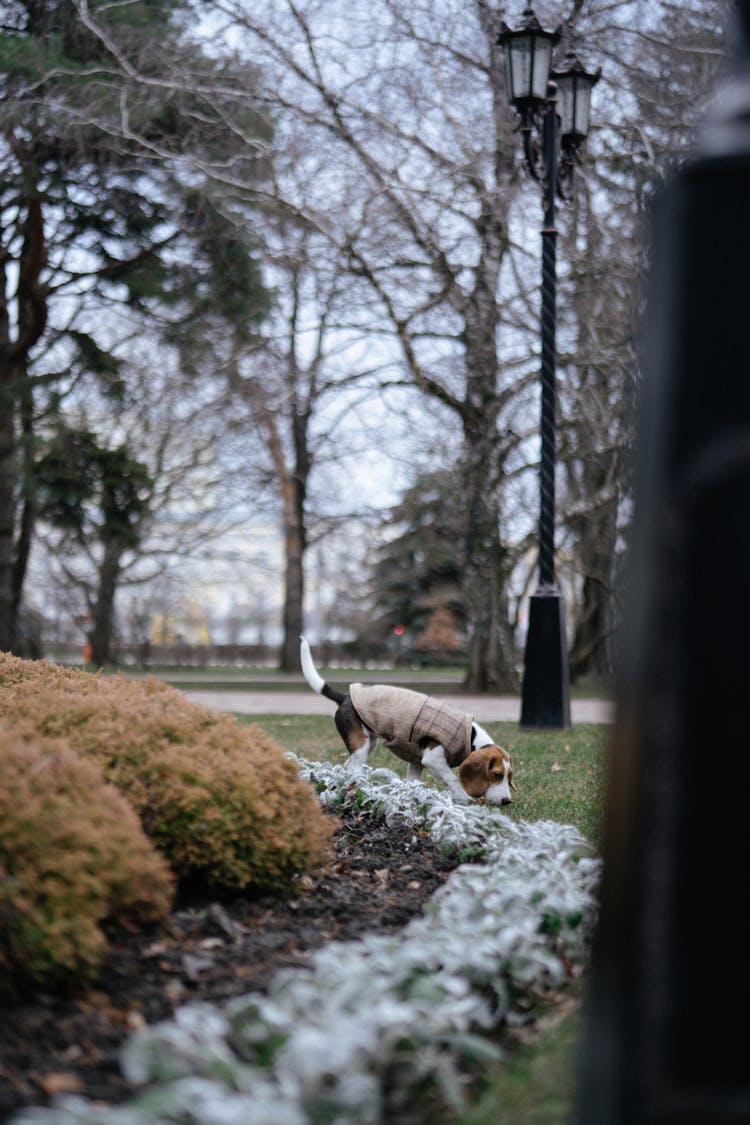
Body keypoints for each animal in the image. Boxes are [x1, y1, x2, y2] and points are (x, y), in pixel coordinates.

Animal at [301, 639, 517, 805]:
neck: (471, 738)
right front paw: (465, 800)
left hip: (368, 744)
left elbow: (413, 782)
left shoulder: (416, 762)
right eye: (496, 775)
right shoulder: (433, 759)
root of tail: (345, 697)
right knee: (354, 770)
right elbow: (451, 778)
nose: (507, 801)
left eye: (509, 776)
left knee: (347, 767)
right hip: (361, 747)